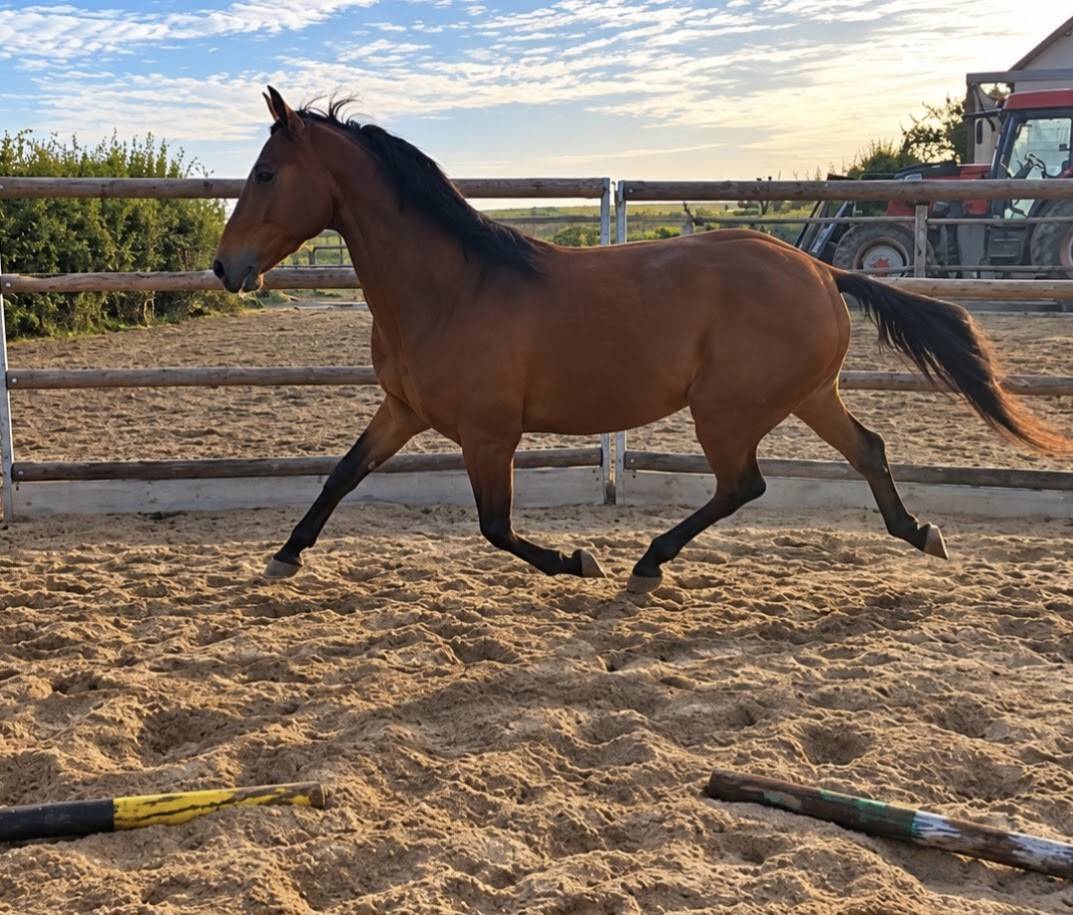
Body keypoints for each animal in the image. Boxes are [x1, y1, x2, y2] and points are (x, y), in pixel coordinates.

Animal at [213, 87, 1071, 593]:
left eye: (265, 173)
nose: (226, 267)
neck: (451, 289)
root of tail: (822, 271)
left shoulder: (489, 434)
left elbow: (495, 528)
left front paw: (576, 559)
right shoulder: (401, 411)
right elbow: (339, 475)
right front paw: (284, 553)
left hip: (726, 409)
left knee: (744, 484)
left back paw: (646, 560)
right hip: (804, 395)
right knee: (866, 448)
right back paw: (920, 533)